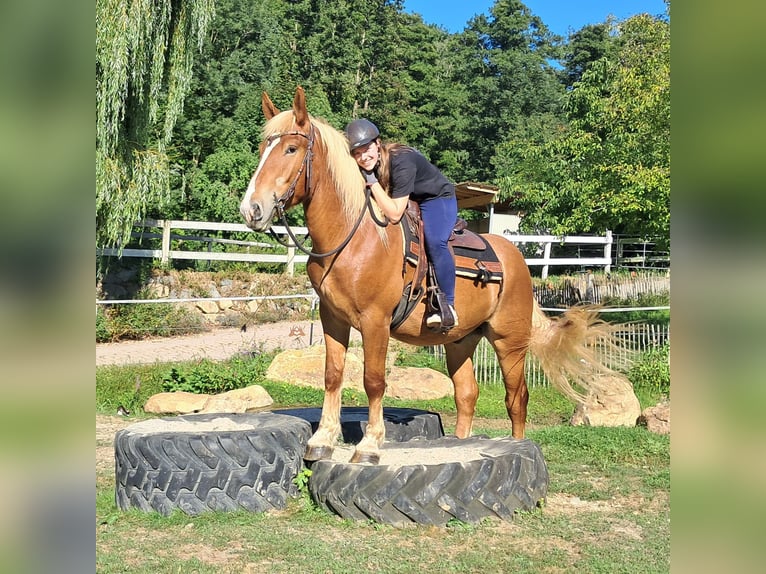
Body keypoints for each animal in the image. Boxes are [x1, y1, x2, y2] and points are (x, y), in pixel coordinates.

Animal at [240, 86, 627, 464]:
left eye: (291, 148)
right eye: (261, 149)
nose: (251, 209)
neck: (354, 237)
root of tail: (515, 258)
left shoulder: (375, 321)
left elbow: (373, 380)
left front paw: (370, 445)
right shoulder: (332, 318)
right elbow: (333, 374)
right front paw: (322, 440)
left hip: (509, 342)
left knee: (516, 398)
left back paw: (517, 445)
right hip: (461, 341)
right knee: (467, 394)